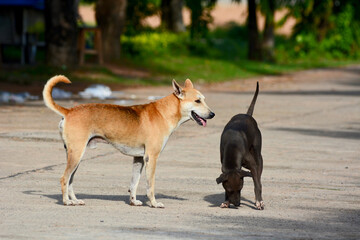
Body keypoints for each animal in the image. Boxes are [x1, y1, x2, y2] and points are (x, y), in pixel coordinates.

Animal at [44, 76, 215, 207]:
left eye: (203, 100)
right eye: (197, 101)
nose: (212, 114)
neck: (164, 112)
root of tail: (69, 111)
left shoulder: (139, 159)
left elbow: (134, 183)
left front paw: (133, 201)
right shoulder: (151, 158)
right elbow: (150, 185)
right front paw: (154, 203)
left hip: (75, 156)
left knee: (70, 181)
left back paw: (74, 200)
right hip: (76, 154)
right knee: (64, 179)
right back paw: (66, 201)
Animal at [217, 82, 264, 210]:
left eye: (240, 189)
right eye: (229, 190)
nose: (237, 204)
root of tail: (247, 115)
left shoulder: (252, 165)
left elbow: (256, 183)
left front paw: (259, 201)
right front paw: (226, 201)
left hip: (257, 154)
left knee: (259, 176)